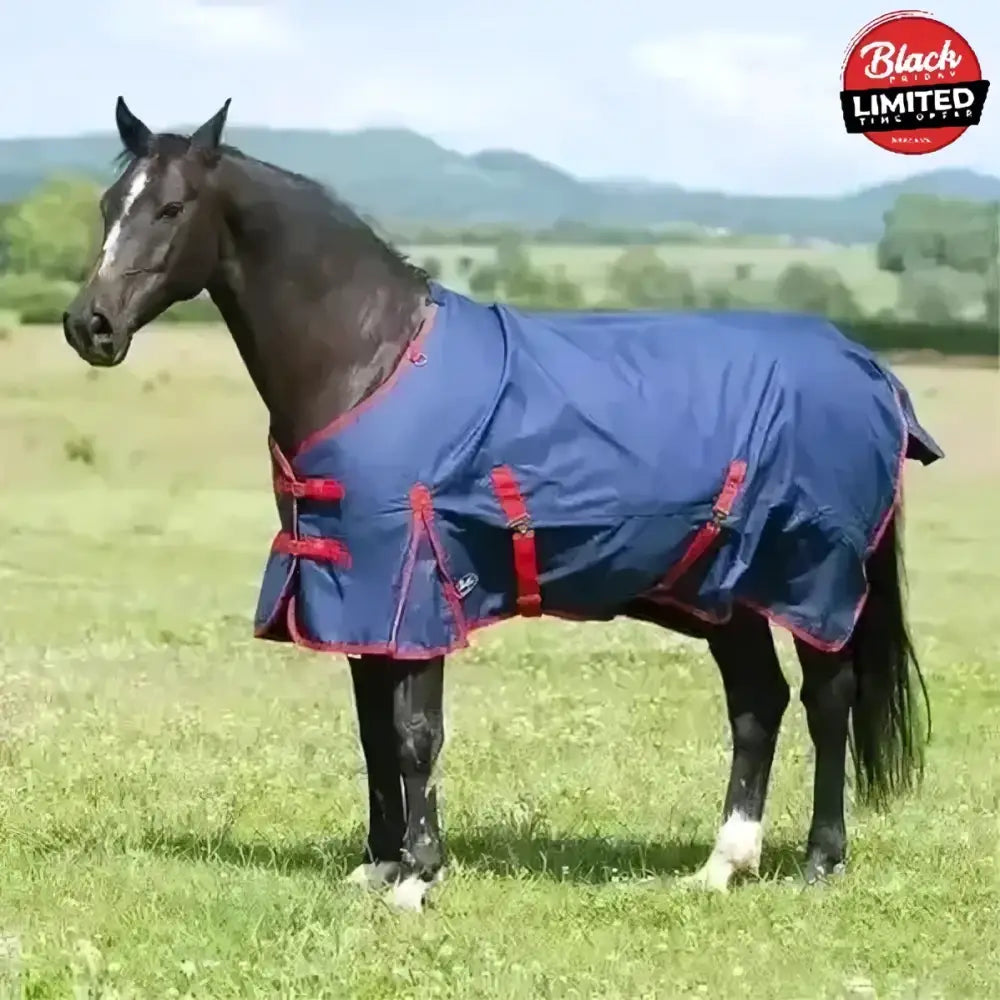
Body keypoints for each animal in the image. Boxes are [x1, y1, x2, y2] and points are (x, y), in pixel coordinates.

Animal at [63, 98, 942, 912]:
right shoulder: (356, 597)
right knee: (758, 704)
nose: (88, 325)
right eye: (108, 204)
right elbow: (372, 730)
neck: (372, 359)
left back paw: (820, 861)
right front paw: (379, 864)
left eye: (171, 207)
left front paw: (419, 877)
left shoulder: (413, 590)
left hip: (813, 579)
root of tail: (868, 369)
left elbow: (415, 734)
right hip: (727, 591)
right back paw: (723, 865)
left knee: (829, 700)